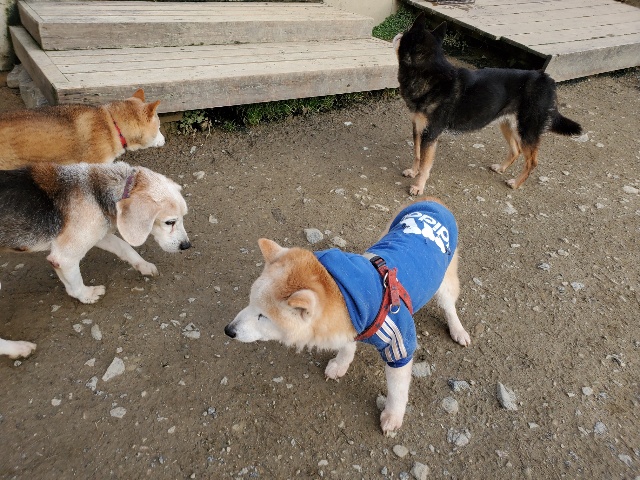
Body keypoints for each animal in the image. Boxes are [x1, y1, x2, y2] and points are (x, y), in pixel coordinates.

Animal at [0, 161, 191, 358]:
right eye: (170, 222)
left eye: (184, 217)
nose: (186, 245)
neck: (96, 193)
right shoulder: (64, 257)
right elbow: (74, 286)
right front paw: (87, 295)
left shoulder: (99, 234)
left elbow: (125, 247)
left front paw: (143, 265)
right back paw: (18, 348)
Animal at [225, 197, 470, 434]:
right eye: (250, 302)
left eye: (263, 316)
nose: (228, 330)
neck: (353, 295)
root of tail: (433, 201)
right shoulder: (351, 322)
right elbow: (346, 347)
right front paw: (340, 364)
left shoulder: (398, 344)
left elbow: (397, 391)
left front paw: (393, 416)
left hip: (445, 283)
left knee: (450, 307)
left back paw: (458, 330)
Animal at [393, 14, 582, 194]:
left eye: (405, 34)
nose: (397, 34)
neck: (430, 74)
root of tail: (547, 79)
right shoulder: (418, 128)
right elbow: (417, 155)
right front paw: (413, 171)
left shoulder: (431, 134)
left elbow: (425, 164)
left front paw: (419, 186)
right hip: (507, 124)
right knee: (516, 150)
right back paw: (501, 168)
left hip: (527, 131)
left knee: (532, 161)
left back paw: (516, 183)